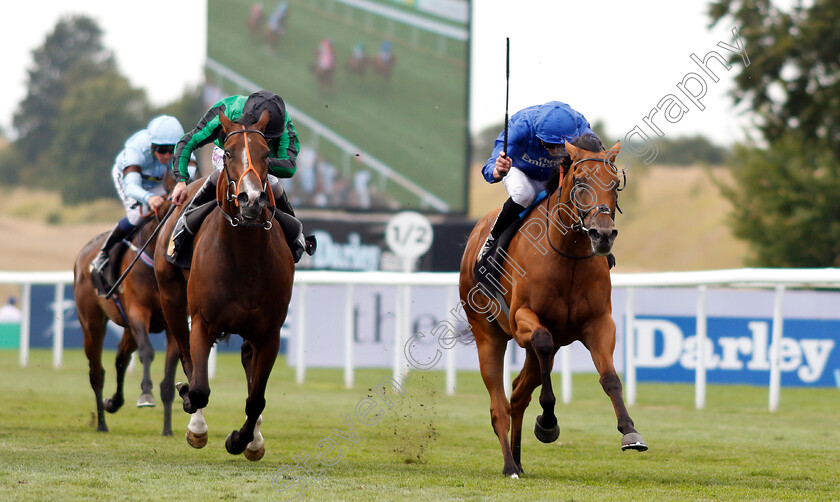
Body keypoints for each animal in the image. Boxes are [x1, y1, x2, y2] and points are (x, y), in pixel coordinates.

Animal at [154, 108, 296, 460]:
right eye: (229, 152)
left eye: (266, 154)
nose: (251, 199)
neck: (243, 260)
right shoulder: (203, 321)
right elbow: (199, 387)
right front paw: (195, 420)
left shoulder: (270, 333)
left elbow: (256, 398)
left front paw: (242, 440)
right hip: (171, 299)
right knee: (187, 358)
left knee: (248, 364)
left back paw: (254, 438)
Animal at [460, 139, 648, 476]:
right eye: (580, 181)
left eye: (615, 184)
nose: (603, 234)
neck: (567, 255)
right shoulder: (523, 319)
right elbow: (542, 343)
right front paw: (547, 422)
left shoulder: (599, 323)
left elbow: (610, 378)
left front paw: (630, 431)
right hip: (487, 335)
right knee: (499, 405)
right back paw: (510, 465)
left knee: (518, 394)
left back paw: (519, 461)